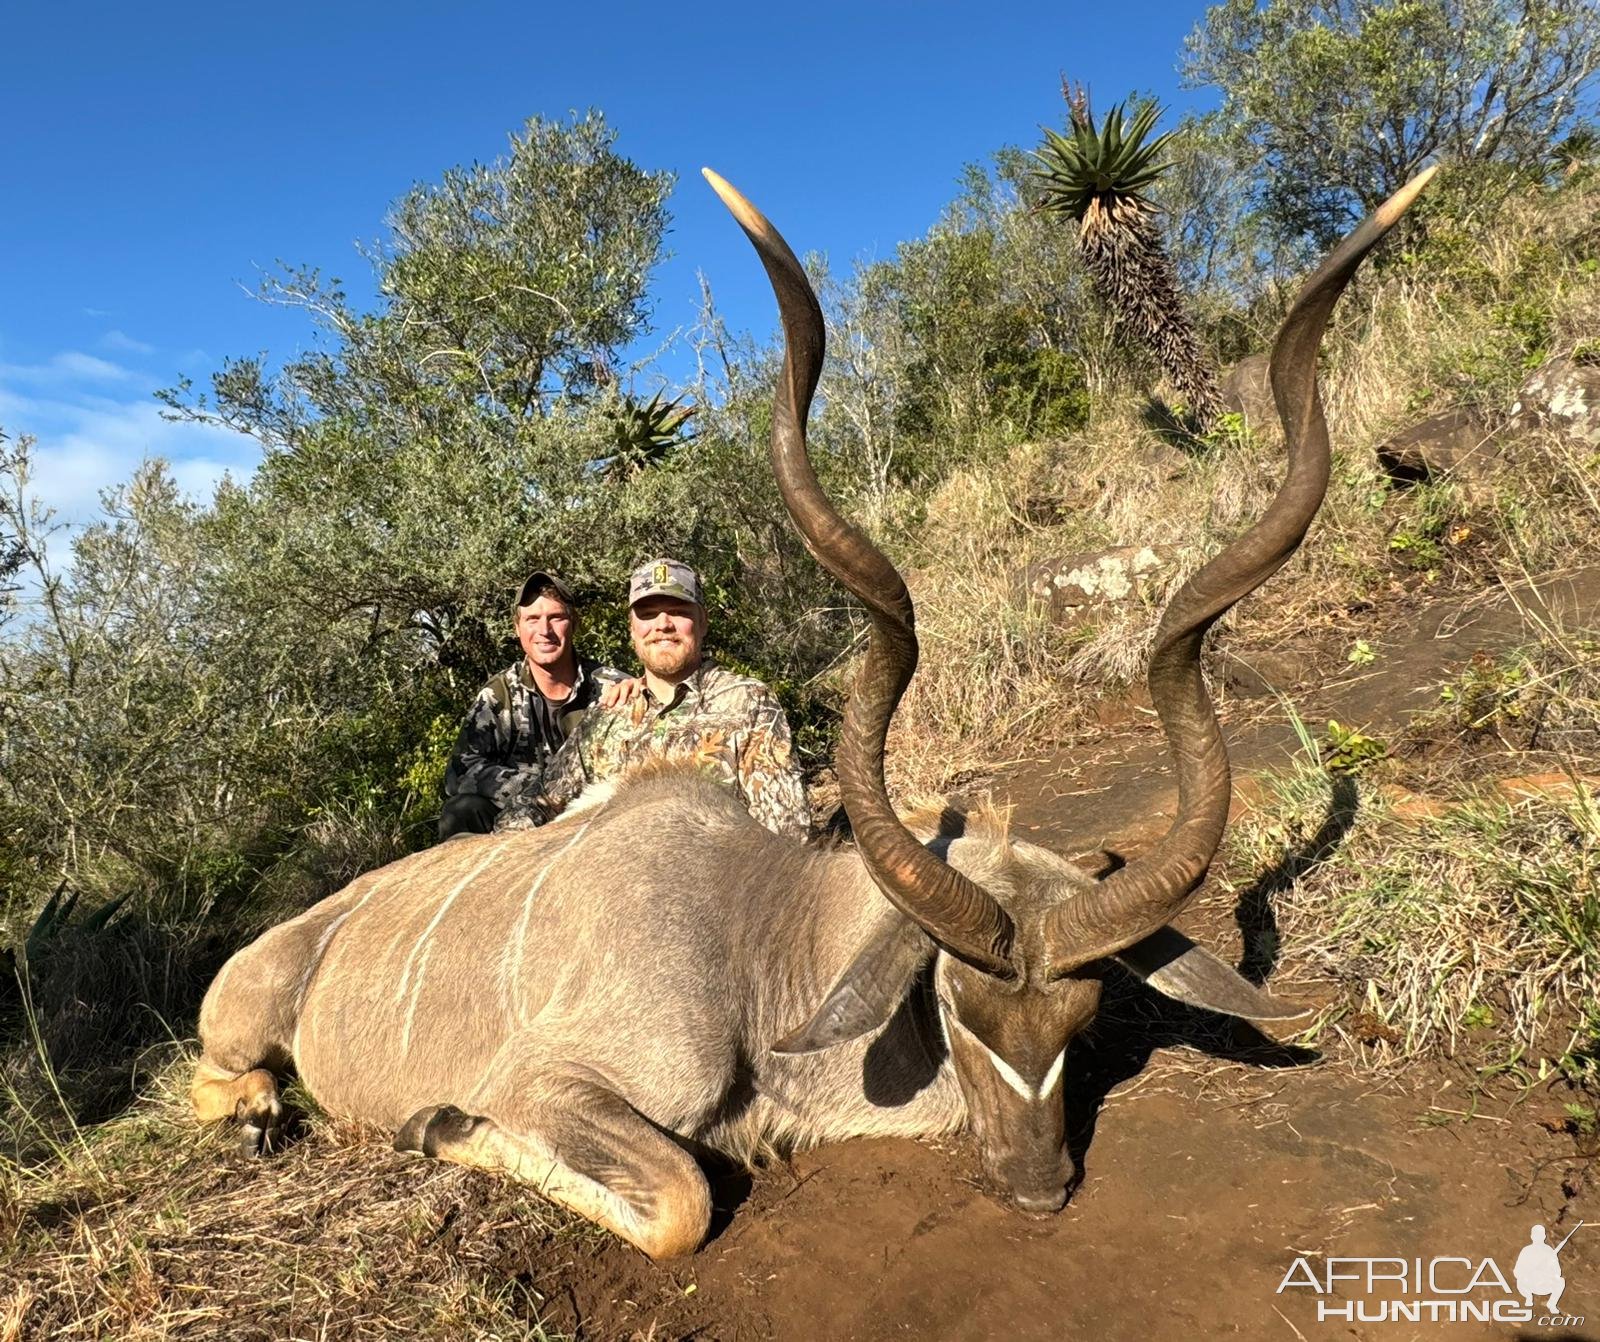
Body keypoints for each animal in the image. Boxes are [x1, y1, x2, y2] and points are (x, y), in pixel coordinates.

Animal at [193, 162, 1433, 1254]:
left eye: (1081, 1022)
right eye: (957, 1008)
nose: (1038, 1187)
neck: (754, 938)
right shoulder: (555, 1081)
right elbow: (683, 1198)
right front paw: (436, 1122)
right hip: (241, 1018)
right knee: (219, 1076)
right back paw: (259, 1112)